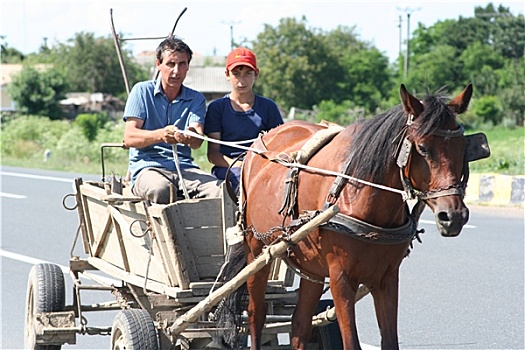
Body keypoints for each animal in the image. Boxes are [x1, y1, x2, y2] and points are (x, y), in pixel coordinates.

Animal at [237, 83, 474, 348]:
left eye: (463, 147)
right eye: (422, 148)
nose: (453, 215)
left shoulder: (387, 277)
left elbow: (390, 341)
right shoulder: (341, 278)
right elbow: (351, 342)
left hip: (311, 266)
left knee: (300, 325)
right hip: (256, 250)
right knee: (256, 315)